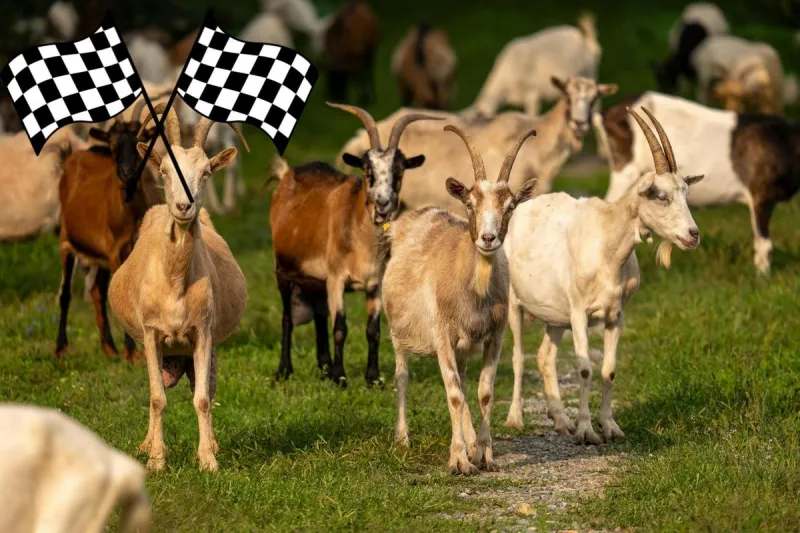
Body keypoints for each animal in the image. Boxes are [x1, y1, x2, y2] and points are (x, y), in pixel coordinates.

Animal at [55, 99, 160, 361]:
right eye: (113, 146)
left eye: (140, 141)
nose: (127, 173)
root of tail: (73, 156)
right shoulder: (115, 251)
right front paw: (131, 352)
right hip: (66, 243)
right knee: (65, 294)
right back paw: (61, 348)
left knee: (96, 291)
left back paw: (109, 348)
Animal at [108, 103, 247, 472]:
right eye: (165, 171)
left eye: (206, 172)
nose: (184, 207)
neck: (175, 282)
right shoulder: (151, 335)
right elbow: (156, 398)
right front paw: (156, 460)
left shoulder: (203, 332)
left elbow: (202, 399)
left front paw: (208, 460)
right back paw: (146, 444)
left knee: (207, 388)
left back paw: (212, 443)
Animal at [269, 103, 439, 387]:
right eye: (367, 171)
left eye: (399, 172)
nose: (383, 204)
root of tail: (287, 174)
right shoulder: (336, 279)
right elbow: (340, 327)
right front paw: (340, 376)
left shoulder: (375, 285)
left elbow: (373, 330)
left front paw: (373, 378)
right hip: (283, 269)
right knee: (287, 318)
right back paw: (285, 370)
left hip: (315, 280)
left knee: (319, 315)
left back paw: (324, 366)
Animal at [382, 125, 537, 474]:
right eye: (469, 203)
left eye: (510, 206)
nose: (488, 239)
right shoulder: (442, 334)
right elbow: (453, 394)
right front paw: (458, 461)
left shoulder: (495, 334)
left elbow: (483, 392)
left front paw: (484, 455)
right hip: (398, 331)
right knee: (402, 375)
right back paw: (402, 438)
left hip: (464, 346)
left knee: (466, 384)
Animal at [504, 108, 703, 442]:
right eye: (660, 195)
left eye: (686, 194)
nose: (693, 234)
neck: (608, 245)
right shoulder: (579, 314)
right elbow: (585, 368)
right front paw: (586, 431)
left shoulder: (616, 315)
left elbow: (608, 370)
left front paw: (610, 427)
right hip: (514, 303)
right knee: (518, 357)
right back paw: (515, 418)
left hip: (556, 315)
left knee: (545, 356)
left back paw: (561, 421)